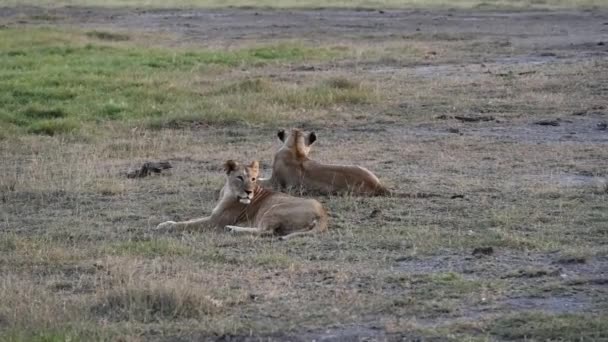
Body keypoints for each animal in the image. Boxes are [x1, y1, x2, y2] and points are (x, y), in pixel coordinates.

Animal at [156, 159, 328, 239]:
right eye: (239, 177)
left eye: (253, 178)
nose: (249, 192)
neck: (228, 191)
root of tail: (323, 214)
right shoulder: (213, 215)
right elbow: (191, 220)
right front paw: (167, 222)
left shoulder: (215, 221)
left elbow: (187, 224)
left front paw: (165, 226)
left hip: (274, 209)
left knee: (267, 231)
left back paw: (233, 229)